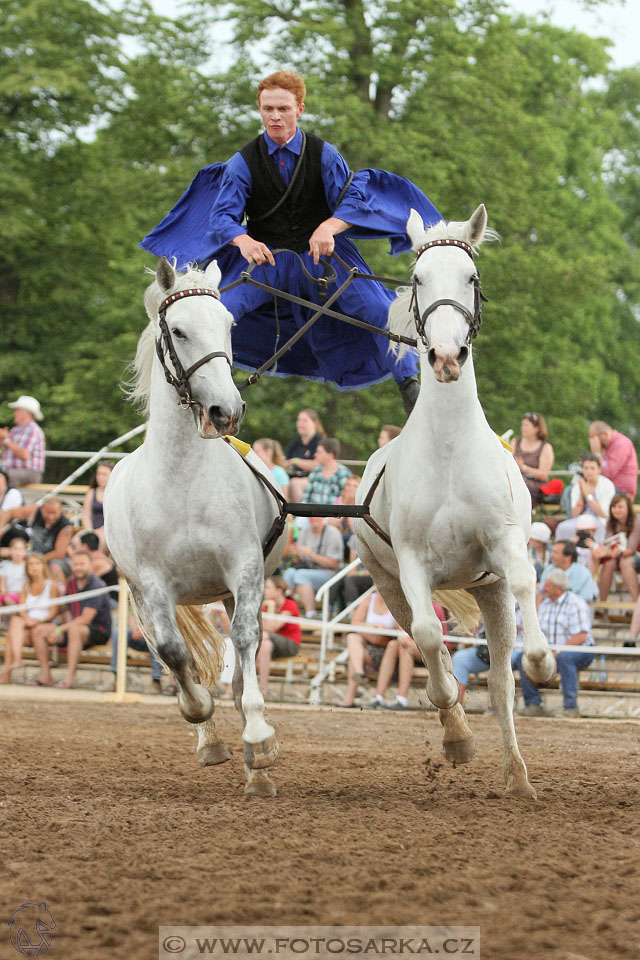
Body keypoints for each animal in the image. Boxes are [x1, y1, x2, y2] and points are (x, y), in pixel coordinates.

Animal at [104, 255, 288, 796]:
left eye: (228, 325)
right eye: (180, 330)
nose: (228, 410)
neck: (182, 480)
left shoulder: (244, 572)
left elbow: (244, 645)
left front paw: (259, 740)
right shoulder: (153, 585)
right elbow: (173, 652)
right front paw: (203, 721)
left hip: (227, 591)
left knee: (241, 665)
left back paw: (256, 763)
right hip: (142, 597)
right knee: (168, 650)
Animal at [356, 206, 556, 800]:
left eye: (471, 277)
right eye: (419, 279)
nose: (447, 356)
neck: (448, 449)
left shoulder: (505, 546)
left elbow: (525, 584)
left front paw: (542, 661)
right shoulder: (411, 565)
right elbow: (428, 636)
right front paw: (455, 731)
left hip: (487, 593)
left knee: (501, 683)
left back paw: (518, 776)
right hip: (388, 585)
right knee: (428, 640)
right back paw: (458, 729)